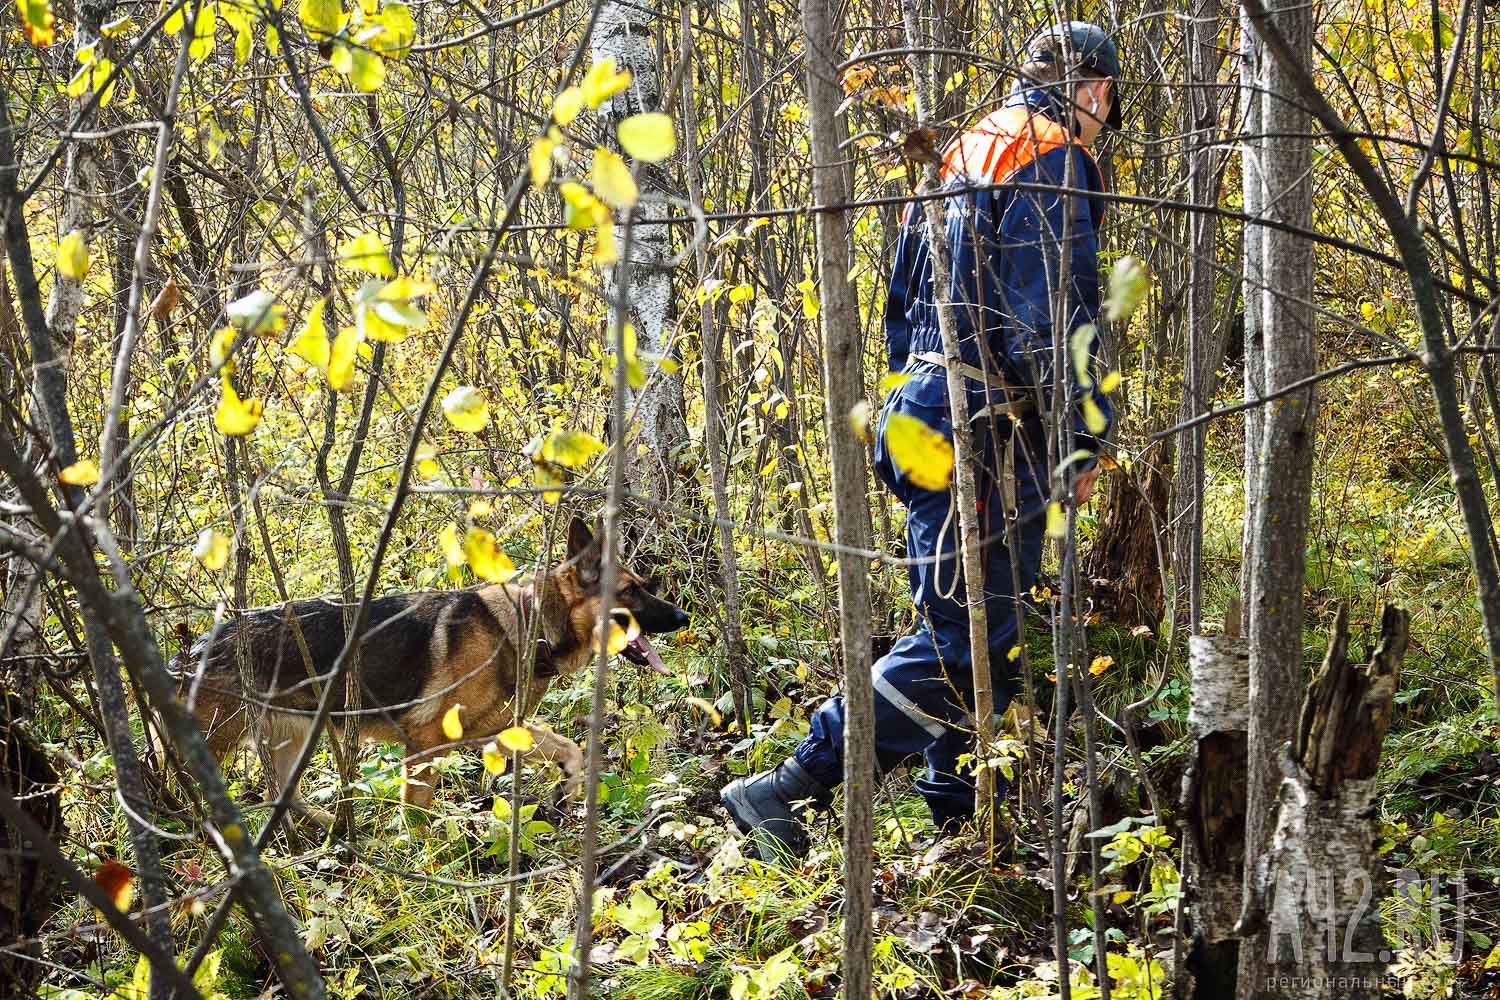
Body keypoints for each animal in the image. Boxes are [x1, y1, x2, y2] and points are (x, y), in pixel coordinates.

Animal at [172, 515, 687, 821]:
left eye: (645, 584)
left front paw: (569, 787)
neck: (529, 624)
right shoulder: (424, 743)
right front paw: (422, 866)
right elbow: (417, 817)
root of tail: (192, 651)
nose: (684, 618)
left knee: (282, 794)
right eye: (631, 592)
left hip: (296, 737)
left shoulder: (492, 730)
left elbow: (570, 748)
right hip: (219, 746)